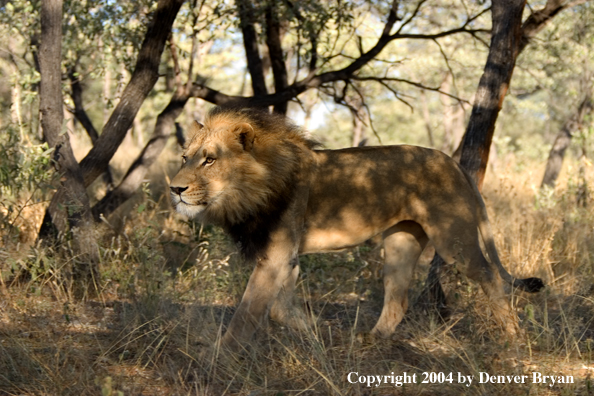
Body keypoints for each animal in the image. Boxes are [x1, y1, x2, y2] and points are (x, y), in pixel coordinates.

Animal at [169, 106, 544, 350]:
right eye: (185, 157)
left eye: (210, 159)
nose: (175, 189)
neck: (254, 188)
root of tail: (454, 163)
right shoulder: (286, 258)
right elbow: (279, 307)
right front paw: (320, 332)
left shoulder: (276, 256)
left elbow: (247, 312)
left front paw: (219, 356)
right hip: (401, 243)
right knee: (398, 299)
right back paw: (370, 339)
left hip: (454, 240)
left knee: (492, 277)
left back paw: (513, 340)